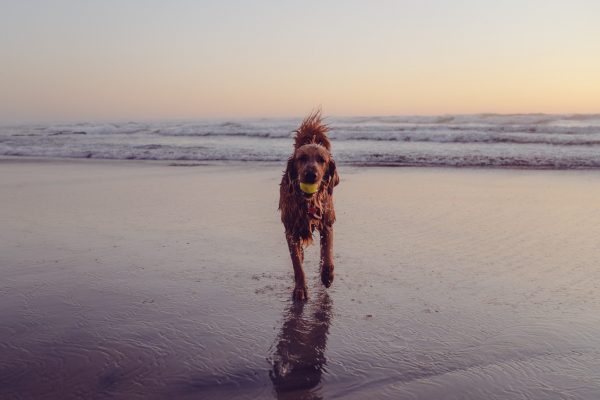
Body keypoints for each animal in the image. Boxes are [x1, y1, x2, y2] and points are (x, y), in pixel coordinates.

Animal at [278, 111, 340, 302]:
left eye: (322, 160)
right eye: (302, 158)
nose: (311, 174)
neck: (307, 202)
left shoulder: (327, 224)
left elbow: (327, 253)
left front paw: (327, 275)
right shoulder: (291, 231)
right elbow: (297, 265)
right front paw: (300, 289)